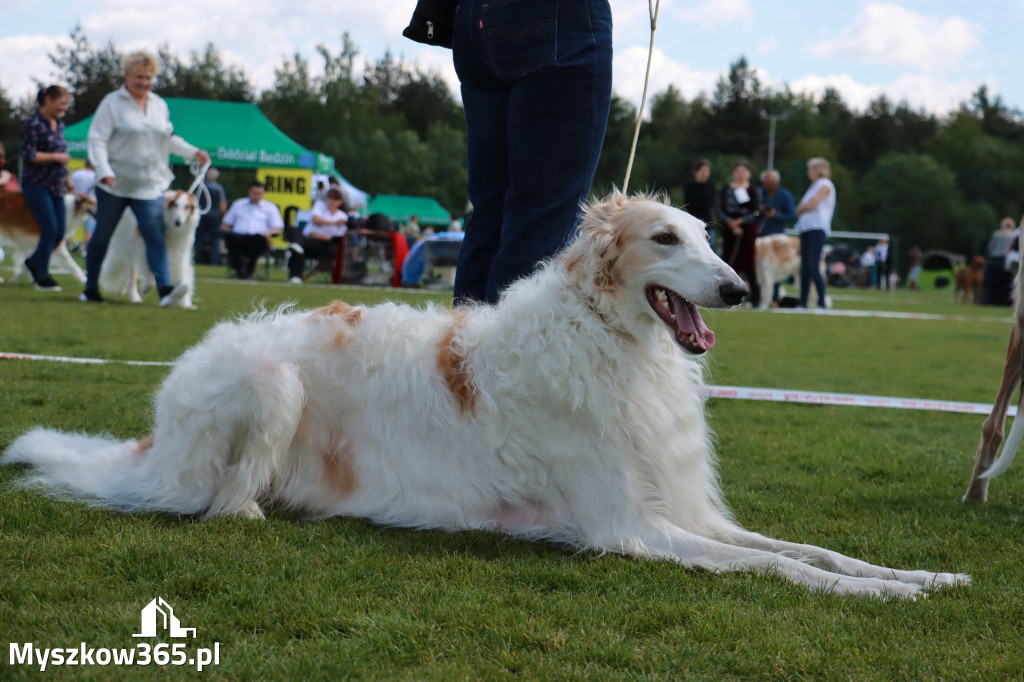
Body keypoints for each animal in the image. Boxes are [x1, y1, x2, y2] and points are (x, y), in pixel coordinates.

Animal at [4, 189, 966, 593]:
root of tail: (154, 439)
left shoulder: (687, 509)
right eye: (664, 238)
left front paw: (922, 575)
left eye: (707, 235)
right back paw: (250, 510)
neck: (607, 340)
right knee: (217, 502)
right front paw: (884, 597)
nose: (738, 287)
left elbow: (813, 551)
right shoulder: (628, 526)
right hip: (269, 385)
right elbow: (776, 567)